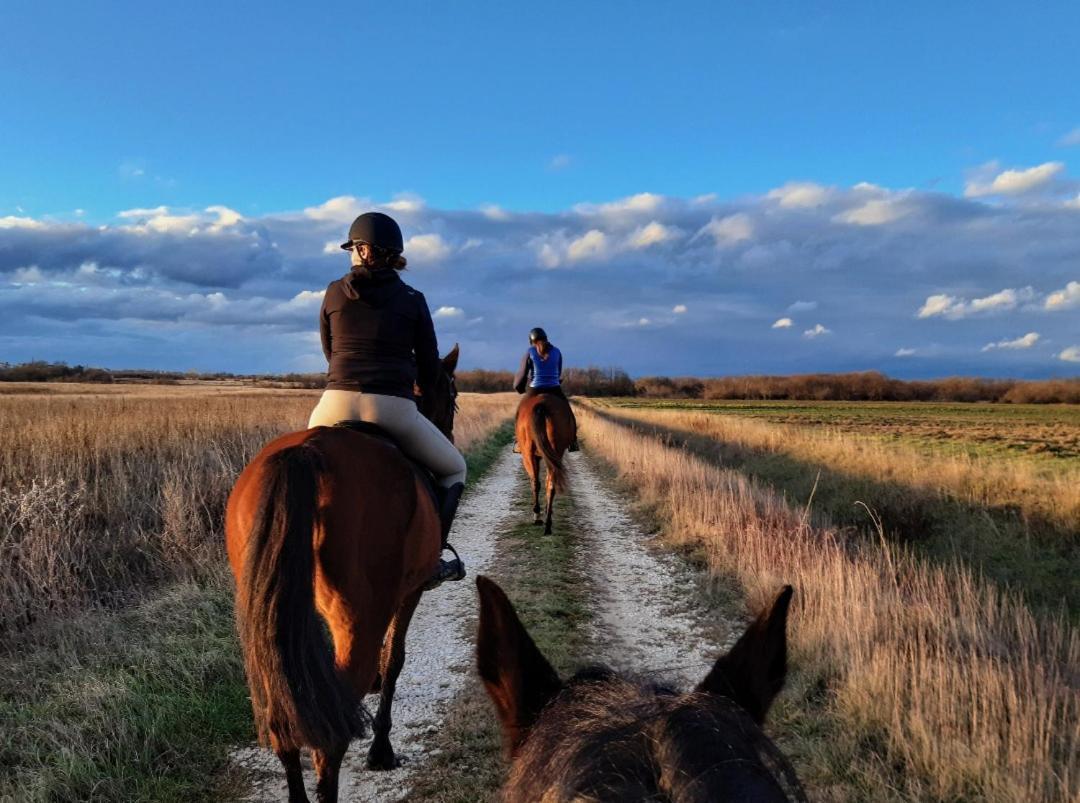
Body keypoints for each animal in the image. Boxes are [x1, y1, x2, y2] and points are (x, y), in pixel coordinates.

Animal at [225, 345, 462, 803]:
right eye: (454, 397)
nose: (448, 430)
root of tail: (307, 453)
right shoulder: (409, 592)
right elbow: (394, 659)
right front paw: (381, 749)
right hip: (359, 613)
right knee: (329, 741)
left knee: (284, 720)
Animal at [514, 388, 574, 533]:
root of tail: (542, 405)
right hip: (555, 451)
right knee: (551, 483)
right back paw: (548, 524)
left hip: (528, 454)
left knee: (536, 482)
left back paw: (538, 517)